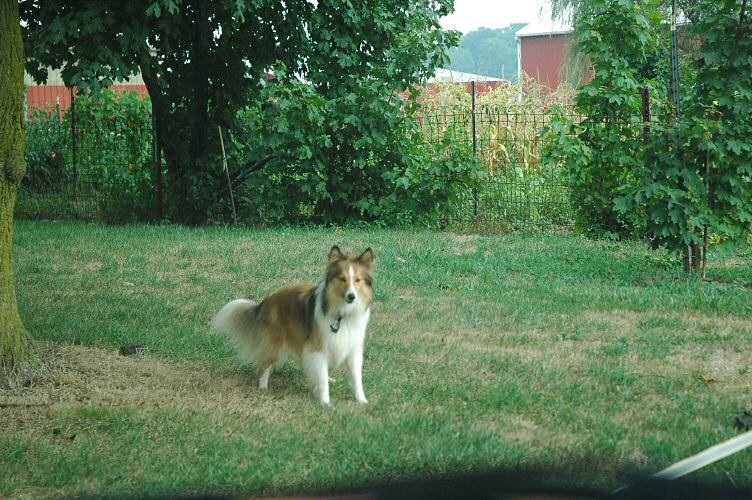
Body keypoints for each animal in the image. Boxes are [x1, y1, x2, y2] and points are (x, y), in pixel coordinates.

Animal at [210, 244, 374, 404]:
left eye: (358, 280)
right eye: (342, 279)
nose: (352, 296)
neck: (342, 312)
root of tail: (267, 300)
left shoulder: (353, 347)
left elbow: (356, 378)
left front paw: (362, 401)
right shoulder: (318, 346)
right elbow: (322, 379)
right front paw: (325, 402)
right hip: (275, 342)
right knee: (265, 363)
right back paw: (263, 387)